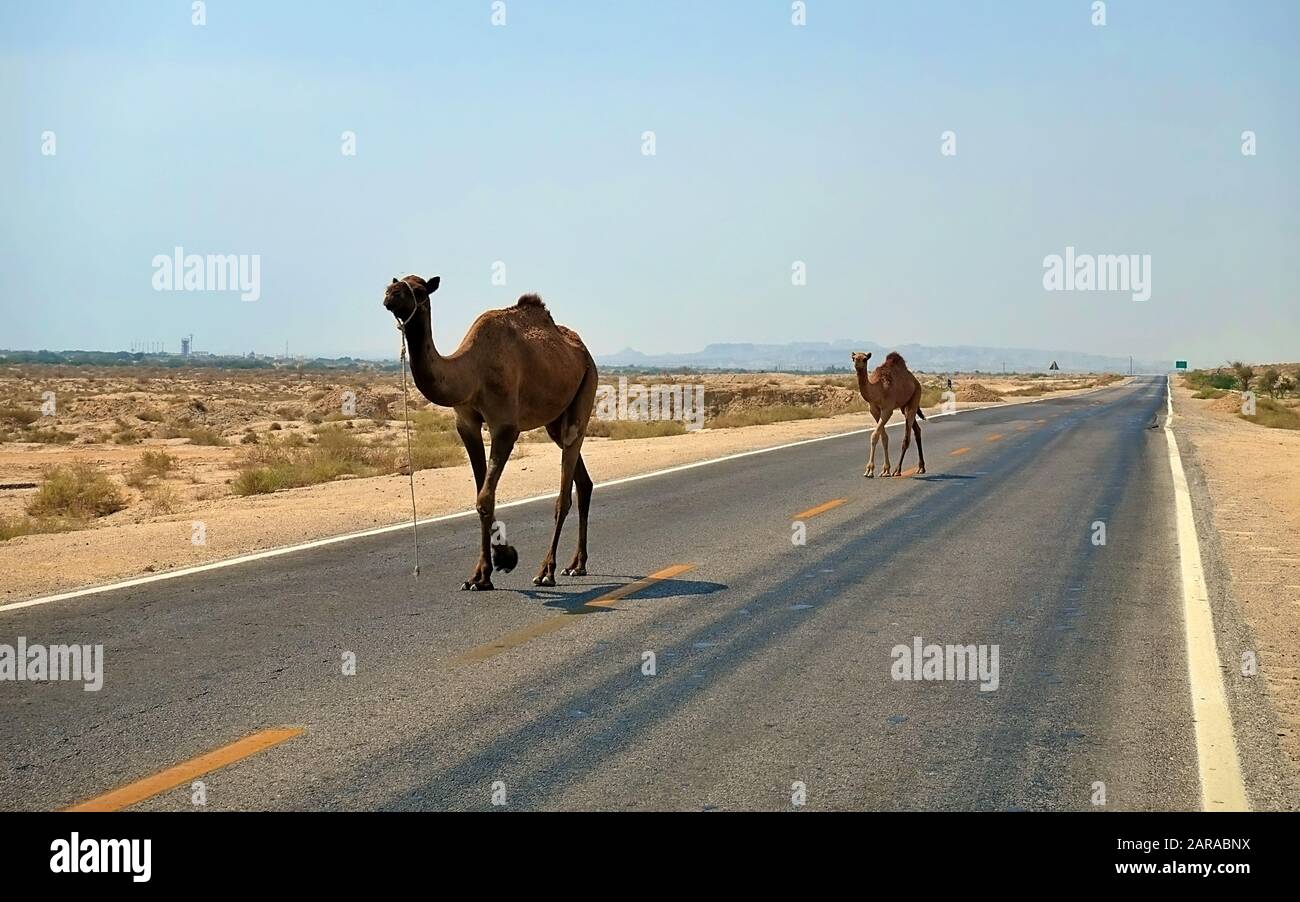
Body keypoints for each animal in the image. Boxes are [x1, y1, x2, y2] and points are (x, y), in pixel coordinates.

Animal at [383, 275, 598, 590]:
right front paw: (479, 576)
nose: (391, 295)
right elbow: (481, 494)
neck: (471, 371)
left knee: (565, 493)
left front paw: (506, 557)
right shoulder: (466, 423)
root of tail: (585, 353)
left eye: (420, 290)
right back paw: (576, 565)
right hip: (555, 421)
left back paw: (546, 570)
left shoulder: (505, 426)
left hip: (586, 390)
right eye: (395, 283)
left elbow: (485, 498)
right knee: (583, 482)